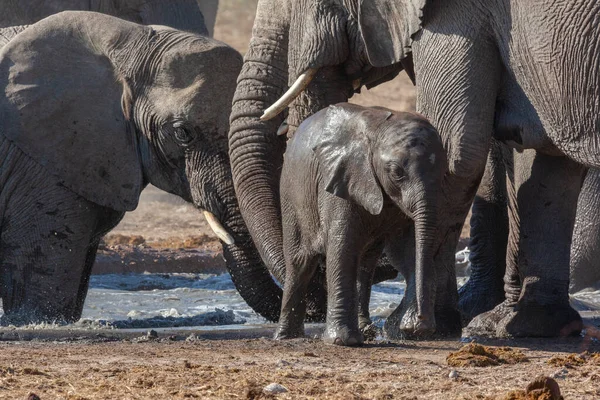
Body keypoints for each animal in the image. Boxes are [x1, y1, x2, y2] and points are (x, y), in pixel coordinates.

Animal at [276, 104, 446, 346]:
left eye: (444, 173)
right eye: (397, 173)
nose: (423, 320)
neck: (379, 131)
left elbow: (409, 248)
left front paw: (412, 328)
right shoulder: (339, 179)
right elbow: (342, 246)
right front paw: (342, 341)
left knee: (365, 263)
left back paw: (366, 332)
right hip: (291, 194)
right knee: (300, 263)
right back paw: (286, 337)